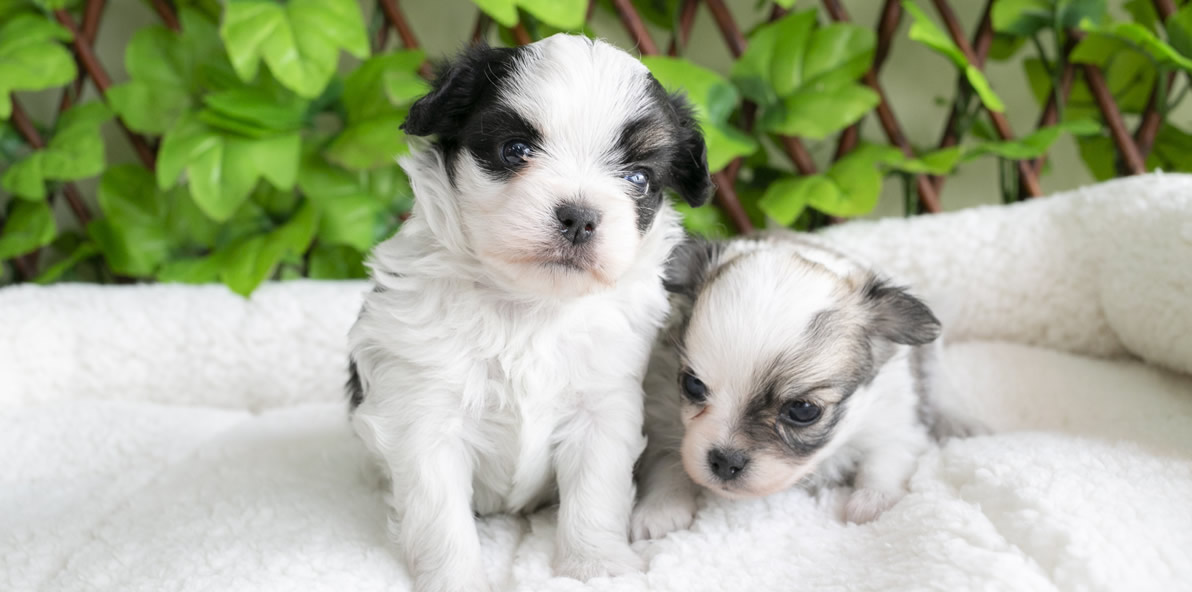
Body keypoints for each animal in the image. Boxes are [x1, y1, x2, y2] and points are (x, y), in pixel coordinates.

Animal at [634, 231, 977, 540]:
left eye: (802, 410)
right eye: (692, 385)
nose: (725, 462)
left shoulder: (893, 417)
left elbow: (885, 456)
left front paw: (874, 501)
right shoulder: (662, 411)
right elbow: (667, 460)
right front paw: (660, 508)